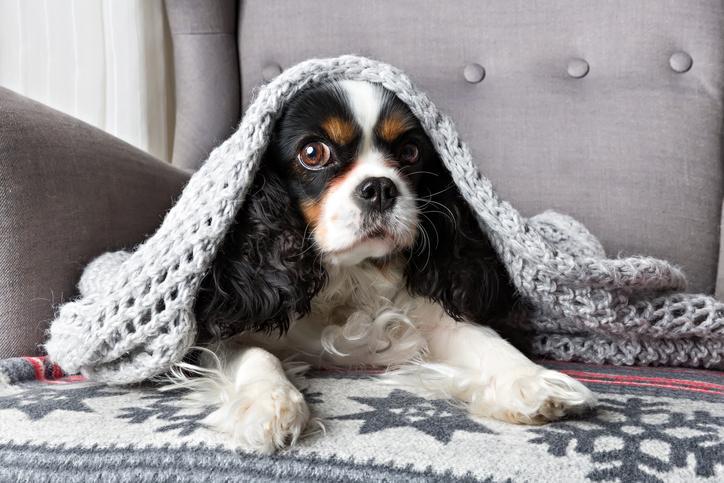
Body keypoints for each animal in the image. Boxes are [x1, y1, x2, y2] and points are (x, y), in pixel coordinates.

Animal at [175, 80, 592, 454]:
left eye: (410, 152)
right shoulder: (222, 331)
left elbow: (484, 337)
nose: (379, 187)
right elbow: (254, 353)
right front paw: (268, 404)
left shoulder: (430, 318)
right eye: (312, 152)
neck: (349, 275)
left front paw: (531, 380)